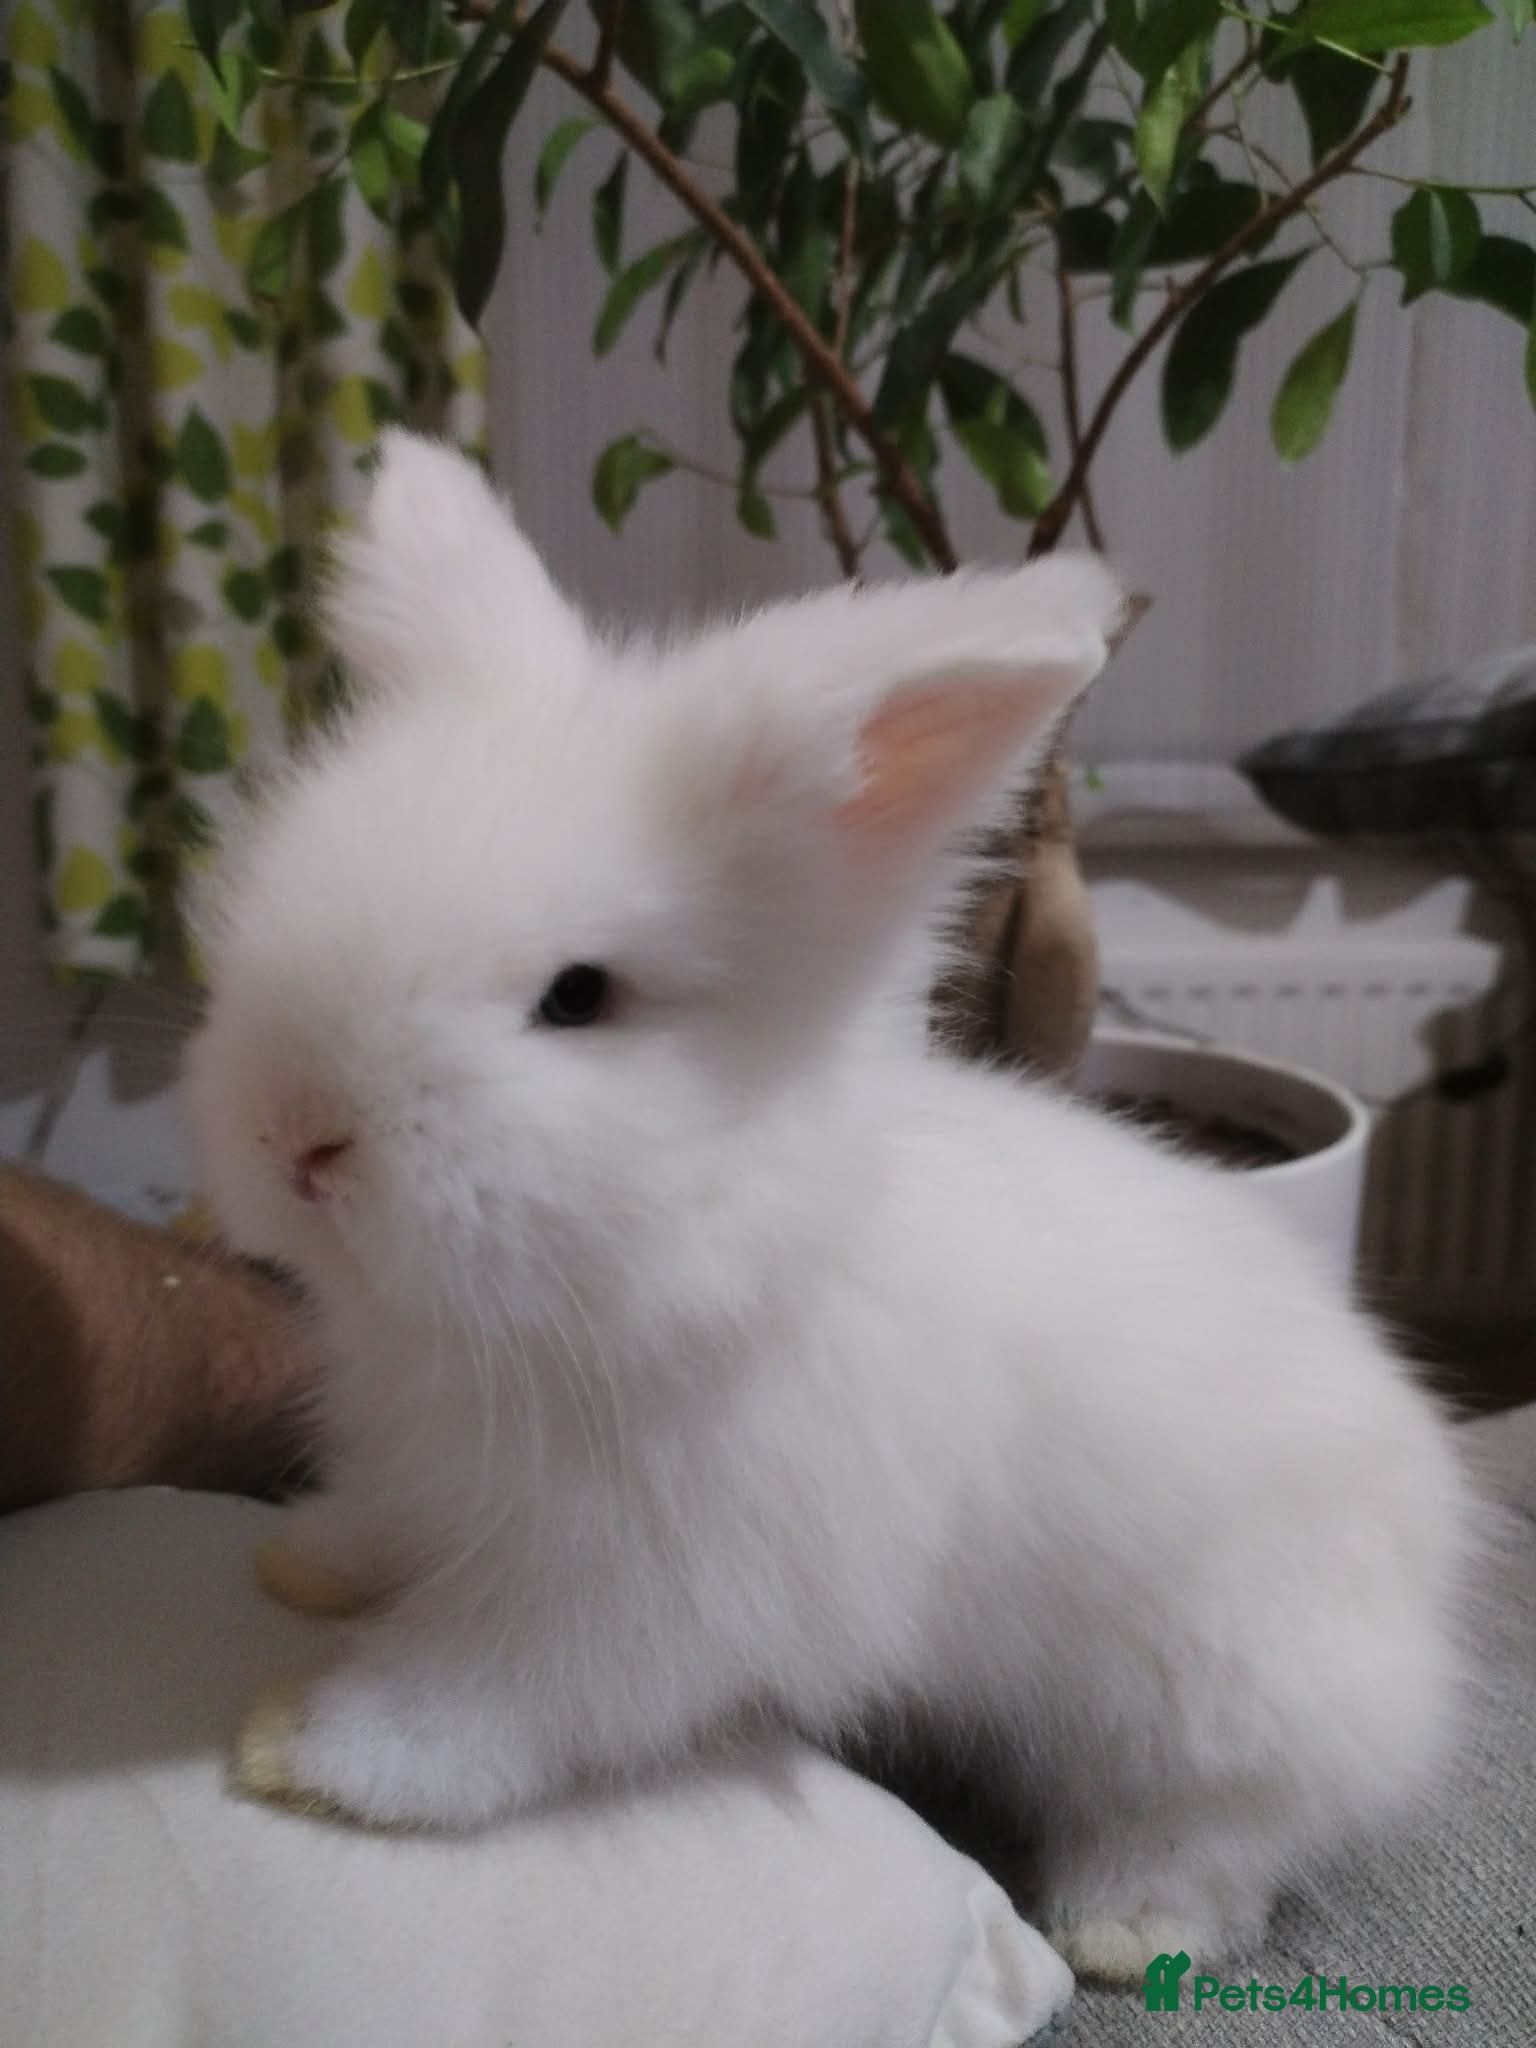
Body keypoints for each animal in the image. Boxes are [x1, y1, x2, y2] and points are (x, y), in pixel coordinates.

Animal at [184, 431, 1477, 1984]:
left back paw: (1124, 1928)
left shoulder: (647, 1594)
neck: (707, 1247)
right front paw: (309, 1560)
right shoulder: (433, 1466)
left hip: (1215, 1700)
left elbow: (498, 1699)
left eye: (578, 997)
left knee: (1222, 1830)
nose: (298, 1137)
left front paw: (311, 1750)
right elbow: (388, 1524)